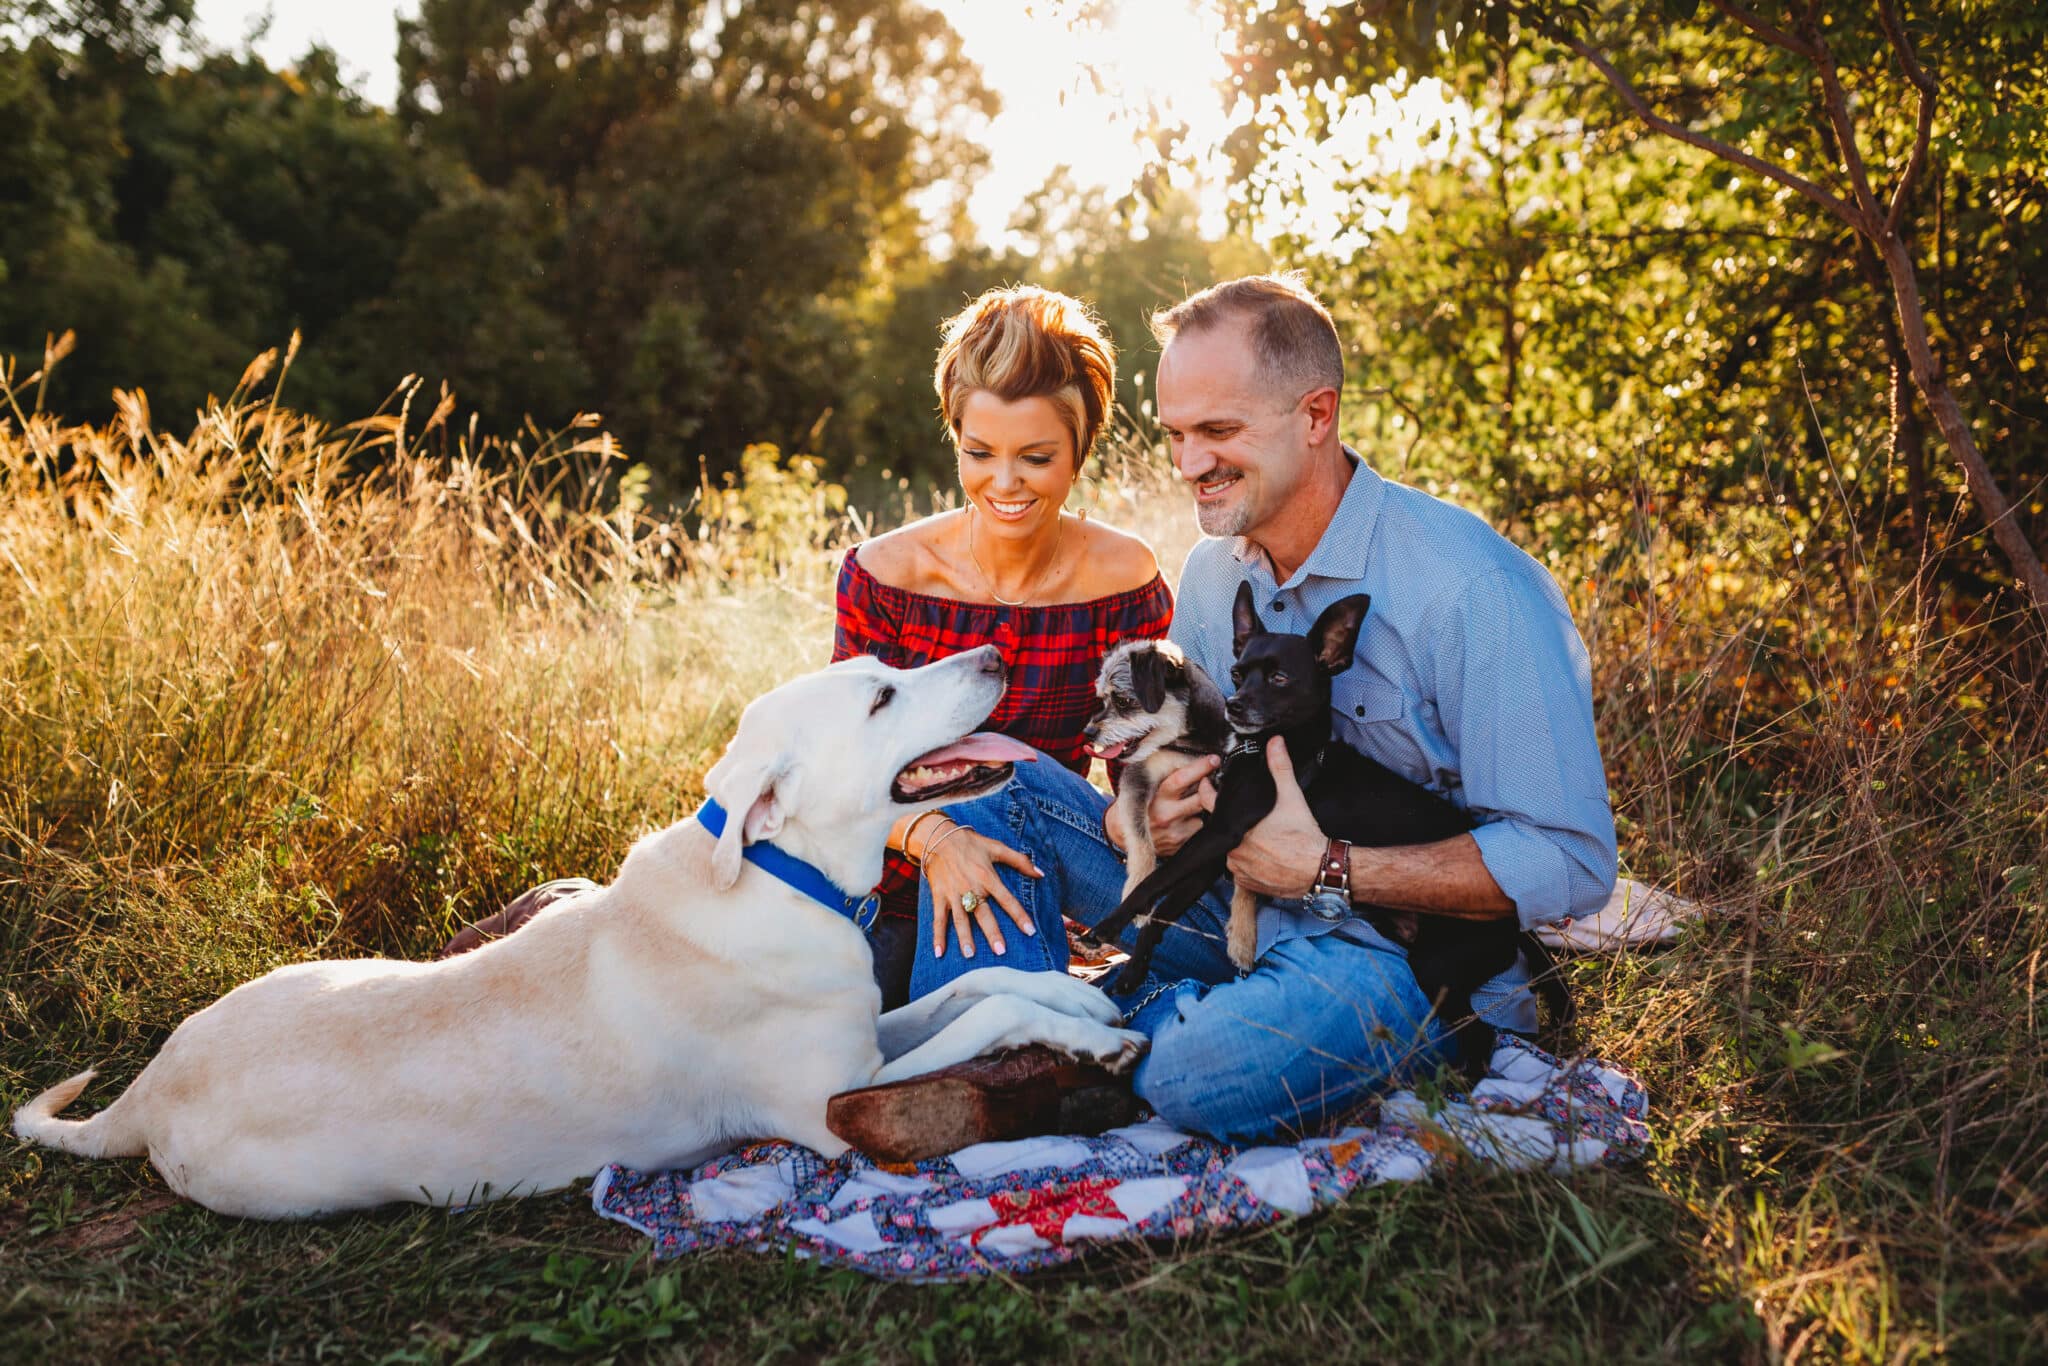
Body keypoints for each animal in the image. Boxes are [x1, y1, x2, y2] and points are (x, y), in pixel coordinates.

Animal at [16, 647, 1146, 1220]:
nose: (996, 650)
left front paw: (1074, 995)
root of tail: (148, 1091)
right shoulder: (834, 1104)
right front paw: (1091, 1032)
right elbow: (983, 1009)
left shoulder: (868, 1027)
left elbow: (972, 991)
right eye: (881, 694)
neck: (782, 875)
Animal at [1089, 581, 1564, 1073]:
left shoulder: (1221, 833)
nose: (1233, 705)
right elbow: (1164, 910)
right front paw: (1134, 970)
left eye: (1279, 679)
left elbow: (1158, 880)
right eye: (1238, 674)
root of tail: (1517, 923)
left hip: (1439, 968)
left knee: (1480, 1035)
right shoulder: (1215, 854)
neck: (1268, 747)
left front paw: (1109, 923)